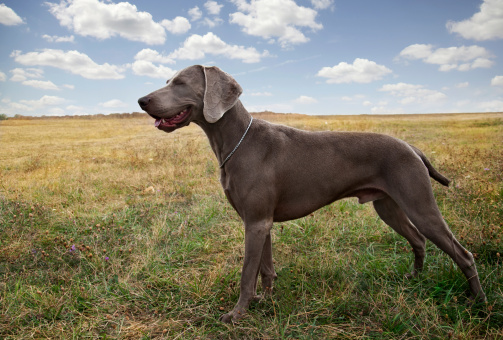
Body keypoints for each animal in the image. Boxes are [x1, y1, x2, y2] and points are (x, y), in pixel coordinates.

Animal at [139, 65, 488, 322]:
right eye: (167, 81)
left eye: (181, 83)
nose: (141, 101)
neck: (236, 140)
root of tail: (412, 148)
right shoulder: (261, 223)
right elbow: (265, 269)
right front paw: (267, 300)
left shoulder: (256, 223)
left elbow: (246, 274)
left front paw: (237, 314)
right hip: (387, 206)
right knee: (418, 241)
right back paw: (413, 279)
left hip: (420, 204)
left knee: (463, 254)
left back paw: (479, 304)